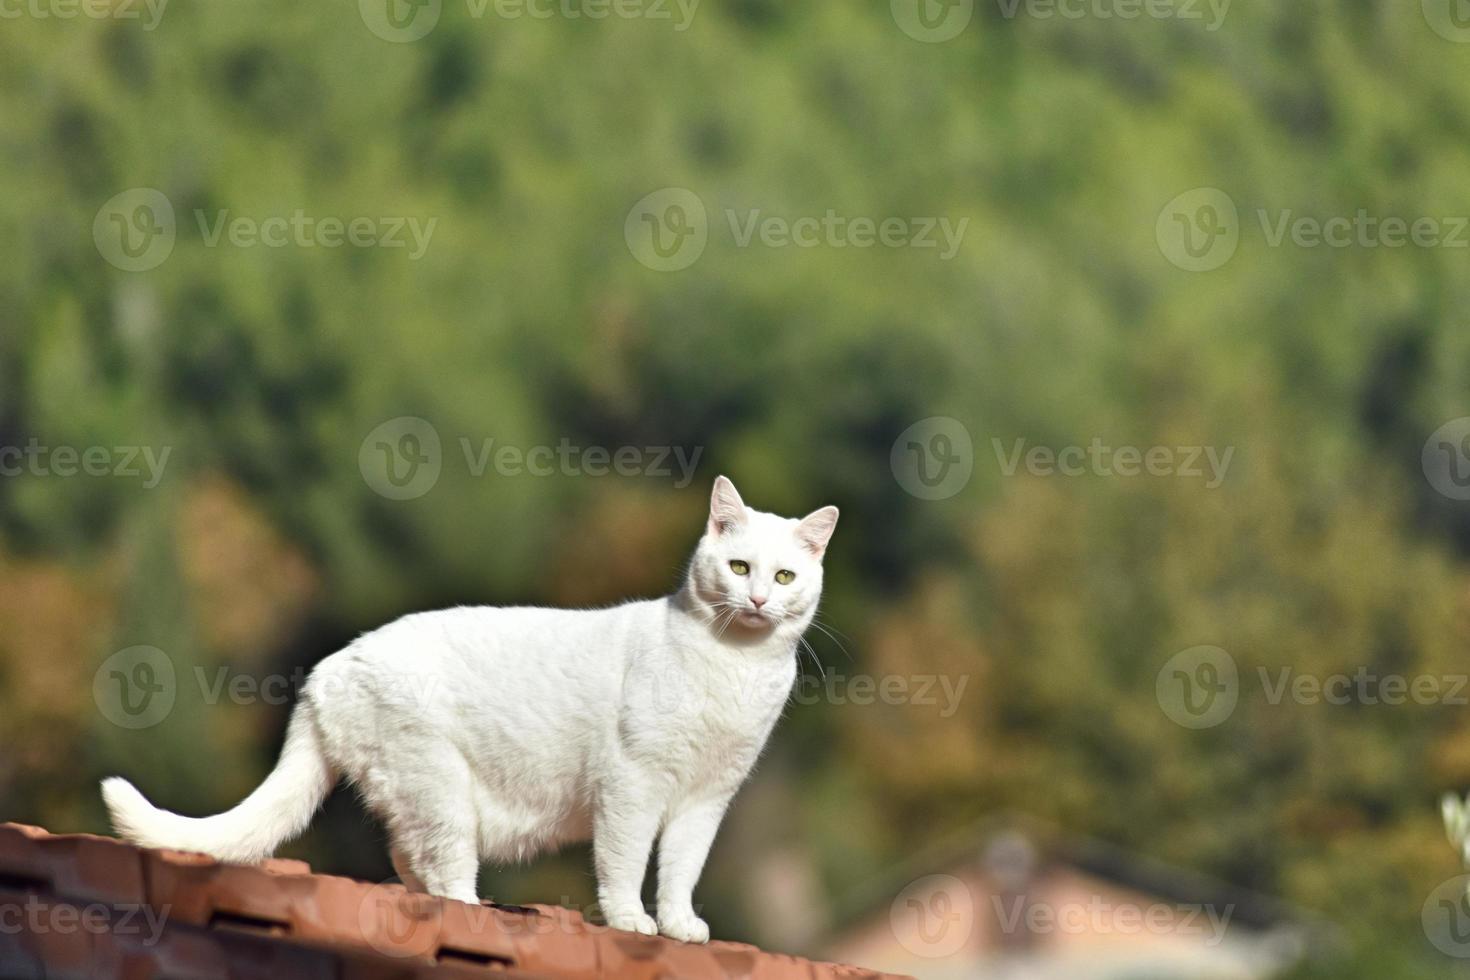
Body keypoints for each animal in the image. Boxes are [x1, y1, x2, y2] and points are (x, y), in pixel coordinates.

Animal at [100, 478, 840, 946]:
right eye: (739, 566)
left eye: (783, 577)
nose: (758, 601)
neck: (735, 668)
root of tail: (325, 672)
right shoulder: (632, 787)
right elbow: (627, 865)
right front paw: (633, 922)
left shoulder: (706, 799)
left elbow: (682, 870)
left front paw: (681, 927)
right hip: (440, 787)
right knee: (440, 867)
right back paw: (468, 908)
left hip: (421, 791)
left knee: (407, 858)